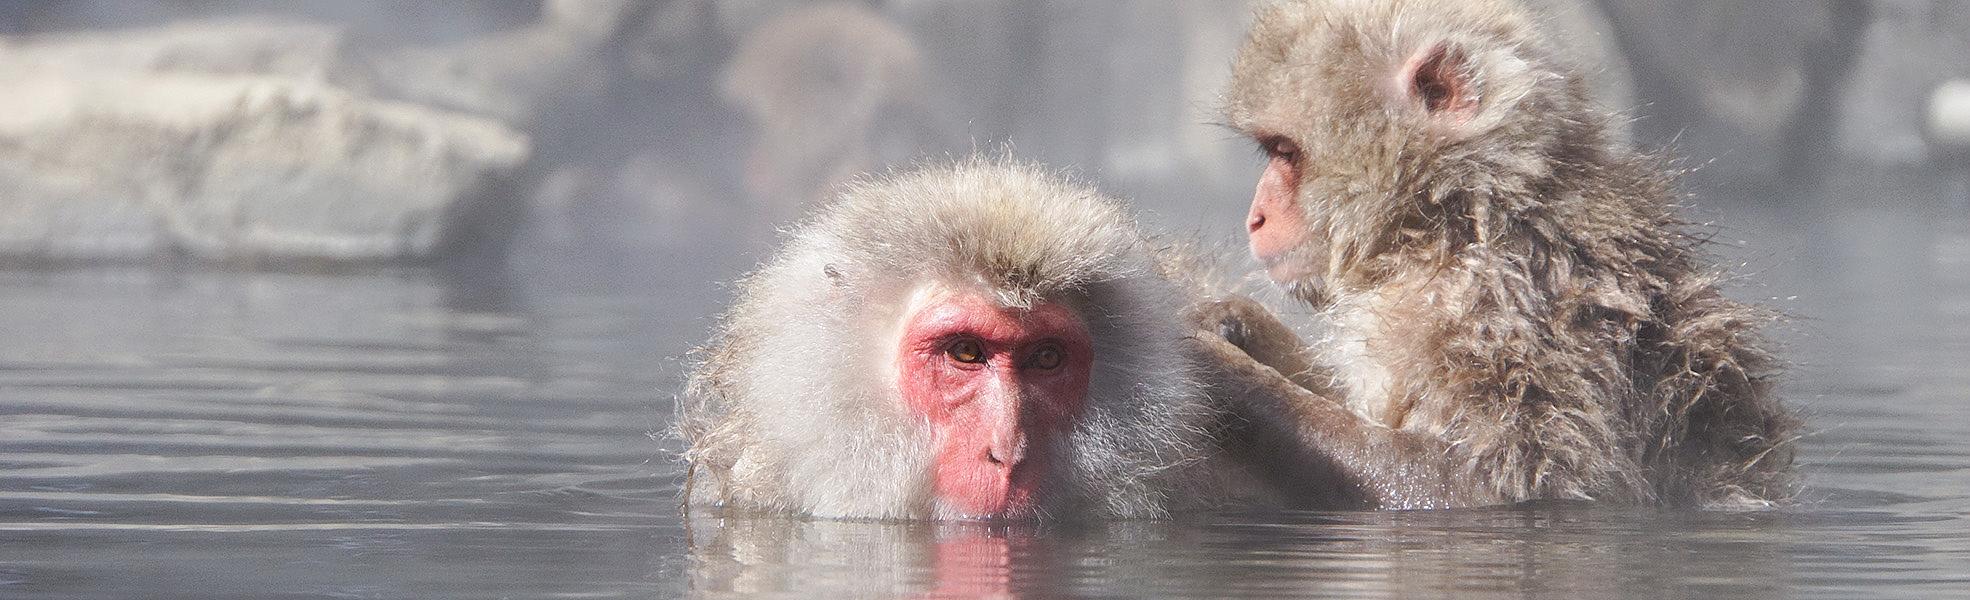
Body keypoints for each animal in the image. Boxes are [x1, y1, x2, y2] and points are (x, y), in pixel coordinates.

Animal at [1210, 0, 1801, 508]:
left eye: (1285, 153)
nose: (1255, 217)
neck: (1463, 221)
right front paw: (1236, 323)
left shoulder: (1503, 318)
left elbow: (1493, 484)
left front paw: (1224, 372)